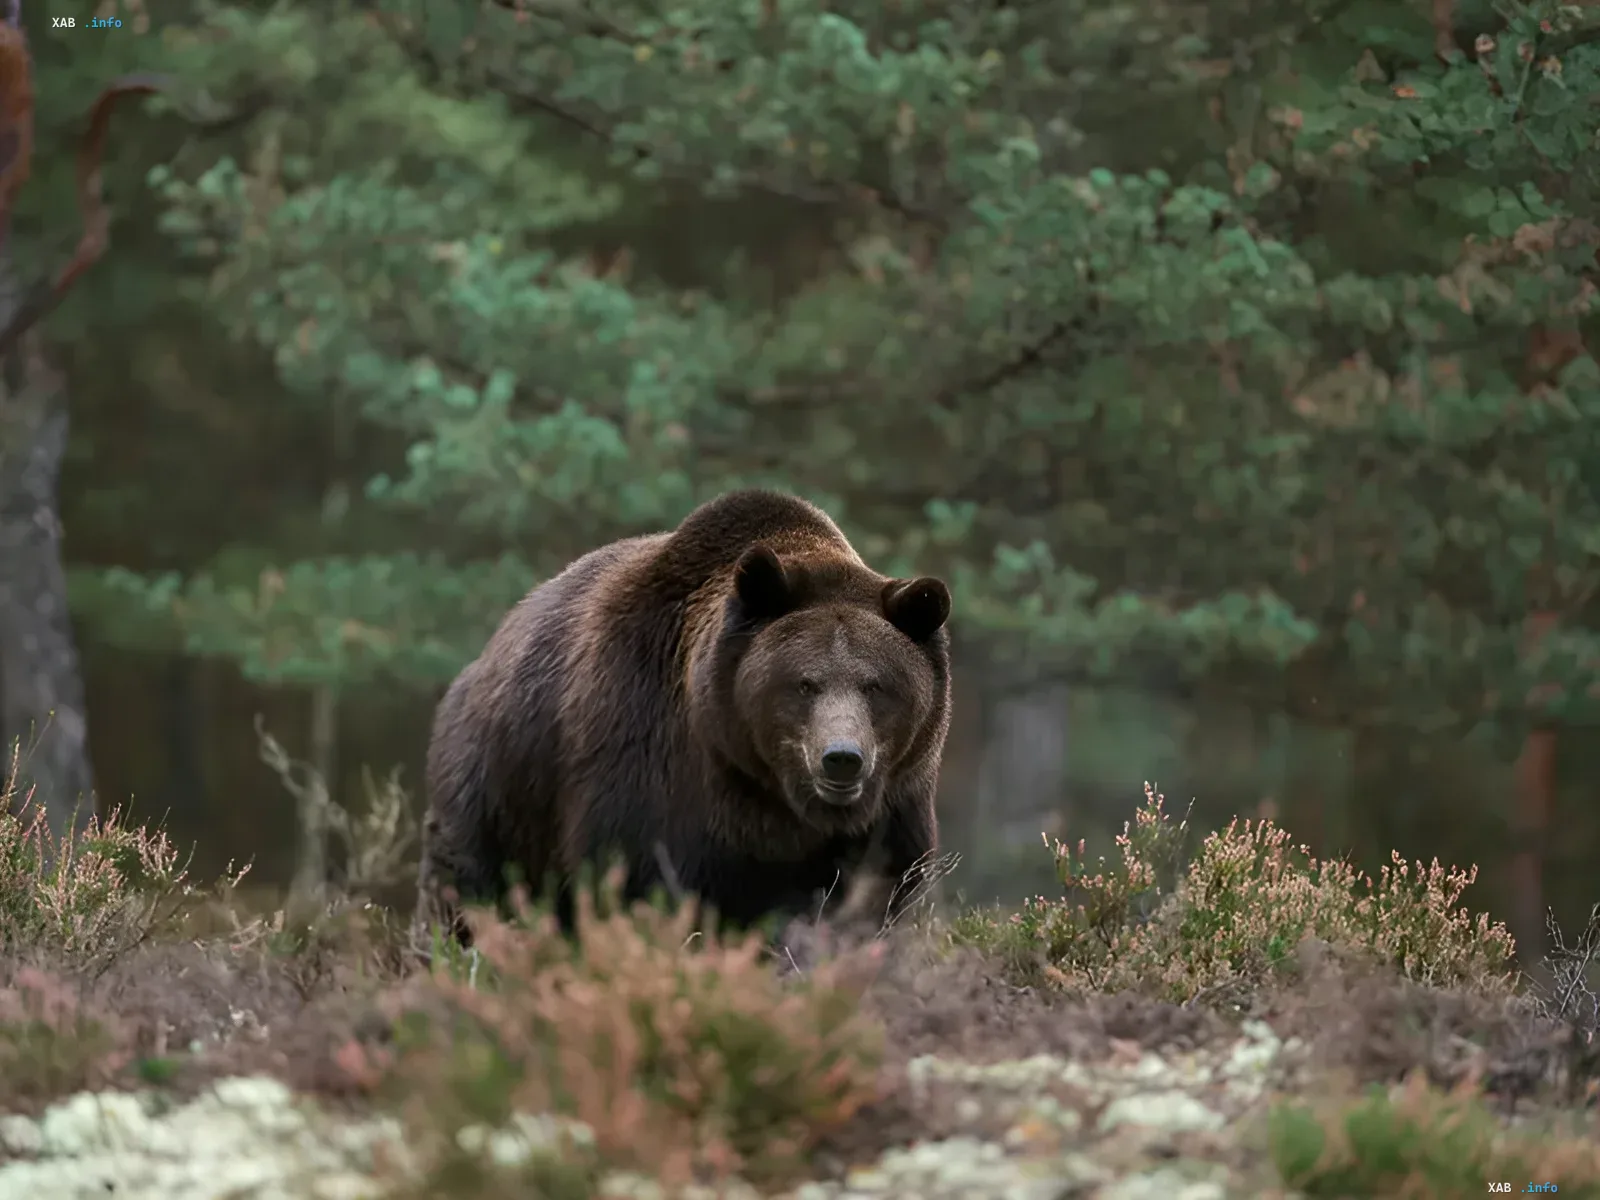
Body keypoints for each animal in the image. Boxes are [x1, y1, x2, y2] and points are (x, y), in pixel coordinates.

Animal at [414, 488, 952, 944]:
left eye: (875, 685)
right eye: (804, 682)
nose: (841, 758)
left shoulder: (892, 804)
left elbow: (874, 888)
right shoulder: (647, 761)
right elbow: (637, 879)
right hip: (496, 785)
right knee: (471, 880)